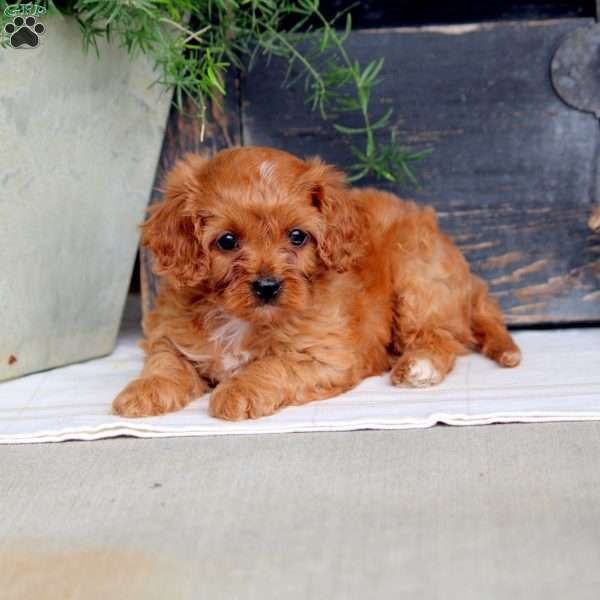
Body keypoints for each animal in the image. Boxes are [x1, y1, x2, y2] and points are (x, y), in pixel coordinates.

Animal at [113, 146, 520, 420]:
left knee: (441, 335)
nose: (267, 286)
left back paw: (420, 365)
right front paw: (144, 390)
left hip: (418, 273)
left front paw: (239, 389)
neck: (242, 319)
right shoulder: (170, 332)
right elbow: (165, 360)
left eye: (297, 236)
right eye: (227, 241)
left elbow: (273, 366)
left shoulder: (324, 356)